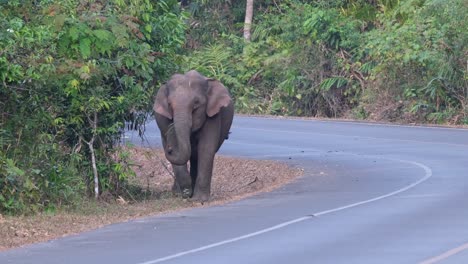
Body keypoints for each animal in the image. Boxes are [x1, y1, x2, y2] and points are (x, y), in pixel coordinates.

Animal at [154, 69, 234, 202]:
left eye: (196, 103)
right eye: (169, 104)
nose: (171, 128)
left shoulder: (213, 115)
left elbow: (206, 149)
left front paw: (199, 199)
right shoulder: (162, 119)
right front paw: (185, 192)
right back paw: (178, 192)